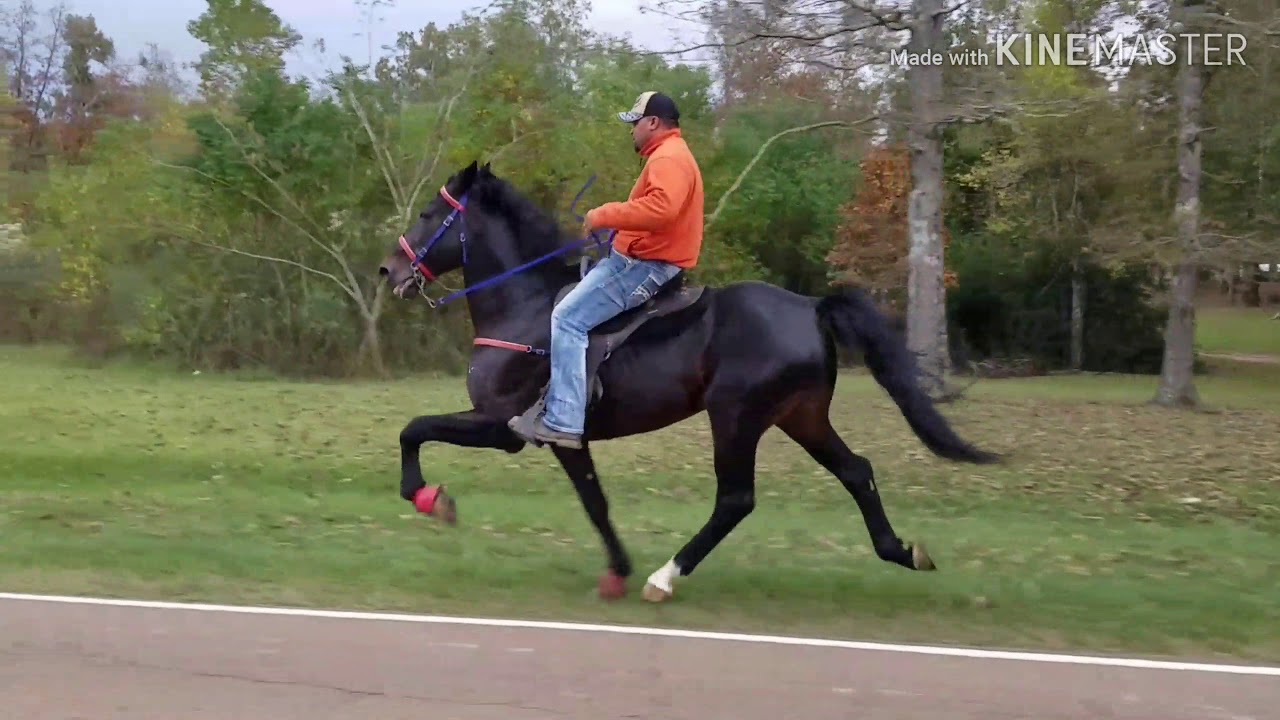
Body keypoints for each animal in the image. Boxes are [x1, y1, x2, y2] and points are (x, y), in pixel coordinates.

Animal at [377, 160, 1001, 602]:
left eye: (431, 213)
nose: (390, 268)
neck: (525, 306)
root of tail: (812, 308)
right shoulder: (566, 442)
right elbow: (595, 502)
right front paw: (616, 571)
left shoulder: (504, 426)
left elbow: (414, 429)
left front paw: (428, 497)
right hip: (800, 417)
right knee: (857, 471)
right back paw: (901, 550)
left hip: (736, 418)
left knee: (736, 499)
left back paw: (666, 576)